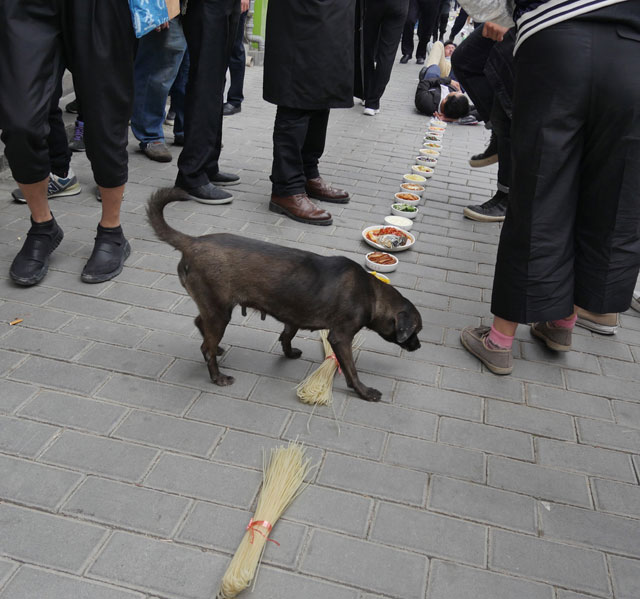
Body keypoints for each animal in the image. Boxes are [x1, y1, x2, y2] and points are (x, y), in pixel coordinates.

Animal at [148, 190, 422, 400]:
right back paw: (217, 376)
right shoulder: (341, 337)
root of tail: (193, 242)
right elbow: (351, 370)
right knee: (205, 347)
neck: (370, 292)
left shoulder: (293, 317)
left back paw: (217, 349)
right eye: (416, 331)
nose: (418, 346)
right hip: (219, 312)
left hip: (214, 308)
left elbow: (286, 336)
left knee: (200, 325)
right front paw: (363, 391)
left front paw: (289, 353)